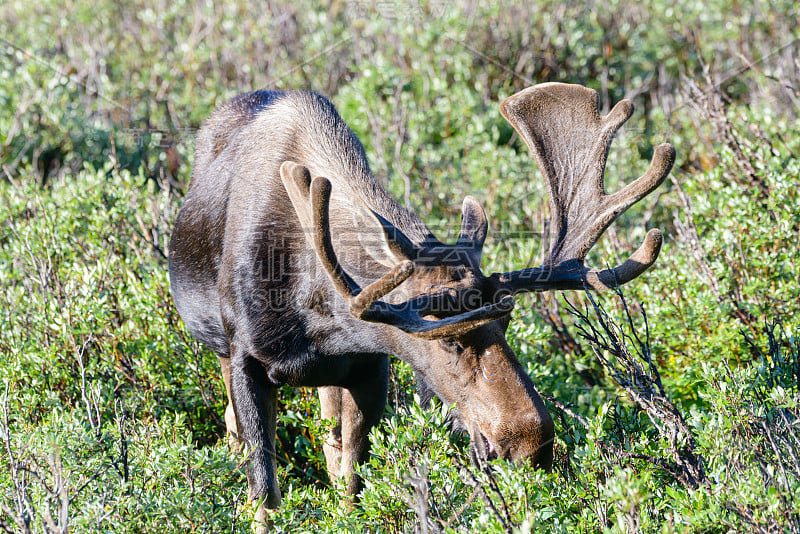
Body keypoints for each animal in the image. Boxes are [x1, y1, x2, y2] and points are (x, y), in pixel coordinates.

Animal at [169, 81, 676, 528]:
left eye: (505, 325)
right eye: (448, 341)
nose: (531, 443)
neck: (317, 316)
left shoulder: (369, 366)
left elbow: (353, 485)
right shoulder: (245, 358)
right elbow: (266, 496)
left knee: (328, 437)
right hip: (220, 350)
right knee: (234, 428)